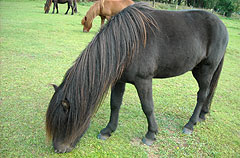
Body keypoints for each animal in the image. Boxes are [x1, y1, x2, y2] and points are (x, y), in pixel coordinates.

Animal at [45, 2, 229, 153]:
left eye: (64, 122)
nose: (58, 149)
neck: (127, 43)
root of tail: (221, 25)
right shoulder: (119, 80)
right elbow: (115, 104)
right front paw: (108, 131)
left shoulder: (143, 81)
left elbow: (147, 107)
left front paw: (151, 134)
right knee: (208, 93)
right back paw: (202, 116)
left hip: (206, 69)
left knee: (202, 95)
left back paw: (190, 124)